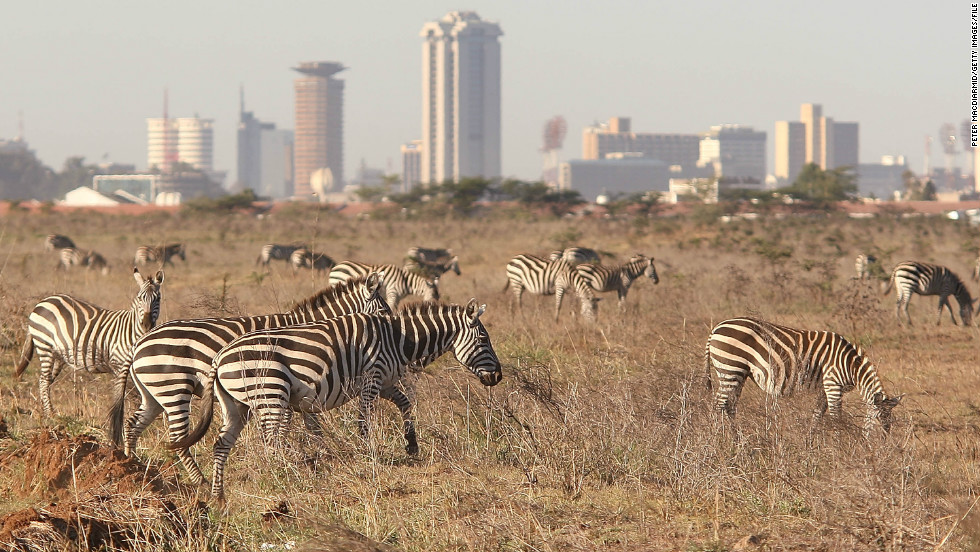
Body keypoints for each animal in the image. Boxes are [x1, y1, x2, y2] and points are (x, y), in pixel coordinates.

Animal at [15, 270, 167, 416]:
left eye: (158, 299)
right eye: (140, 298)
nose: (147, 324)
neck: (131, 330)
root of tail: (44, 301)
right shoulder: (119, 364)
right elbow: (124, 393)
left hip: (58, 355)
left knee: (47, 382)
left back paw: (44, 410)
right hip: (45, 346)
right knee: (43, 380)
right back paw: (50, 414)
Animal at [116, 272, 390, 484]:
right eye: (384, 310)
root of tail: (140, 343)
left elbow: (312, 427)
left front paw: (320, 455)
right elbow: (286, 426)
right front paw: (285, 458)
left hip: (153, 393)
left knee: (132, 424)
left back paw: (132, 469)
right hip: (173, 388)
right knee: (176, 437)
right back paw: (199, 480)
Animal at [169, 300, 502, 502]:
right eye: (484, 340)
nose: (498, 377)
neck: (397, 339)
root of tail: (219, 357)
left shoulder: (385, 382)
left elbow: (405, 404)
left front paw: (411, 444)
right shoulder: (372, 378)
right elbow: (365, 420)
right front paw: (369, 454)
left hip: (236, 404)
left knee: (222, 444)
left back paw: (218, 494)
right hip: (271, 393)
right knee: (271, 442)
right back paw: (285, 476)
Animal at [704, 316, 904, 438]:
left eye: (890, 423)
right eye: (878, 419)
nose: (882, 447)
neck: (850, 365)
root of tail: (716, 328)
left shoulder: (825, 387)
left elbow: (817, 414)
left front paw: (811, 442)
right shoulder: (833, 384)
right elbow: (835, 417)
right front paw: (839, 444)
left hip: (739, 373)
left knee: (730, 406)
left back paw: (736, 437)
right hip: (730, 368)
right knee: (718, 405)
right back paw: (715, 439)